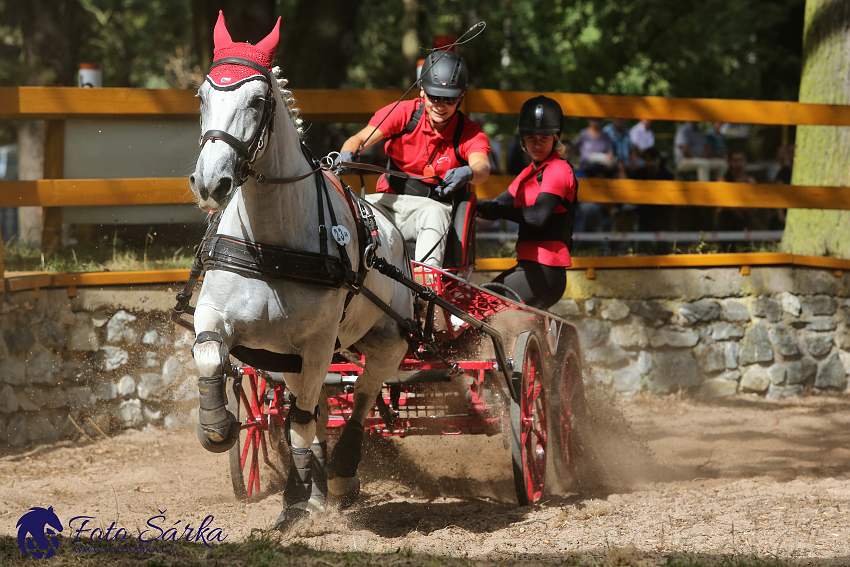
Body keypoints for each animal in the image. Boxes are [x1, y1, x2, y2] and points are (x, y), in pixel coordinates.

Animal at [186, 12, 410, 528]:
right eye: (203, 96)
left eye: (257, 100)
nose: (210, 182)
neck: (271, 243)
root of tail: (392, 231)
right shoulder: (220, 316)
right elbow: (209, 353)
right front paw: (218, 426)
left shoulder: (318, 342)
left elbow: (302, 419)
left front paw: (294, 498)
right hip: (291, 357)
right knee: (322, 403)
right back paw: (320, 486)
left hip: (389, 336)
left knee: (362, 391)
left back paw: (341, 471)